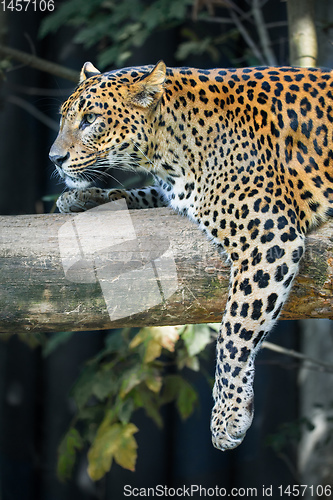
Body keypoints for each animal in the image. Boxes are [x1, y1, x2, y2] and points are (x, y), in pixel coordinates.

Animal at [48, 60, 332, 452]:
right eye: (64, 118)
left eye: (90, 119)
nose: (54, 159)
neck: (169, 150)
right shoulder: (173, 192)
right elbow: (140, 194)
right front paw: (84, 198)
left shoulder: (268, 237)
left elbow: (234, 331)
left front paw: (228, 415)